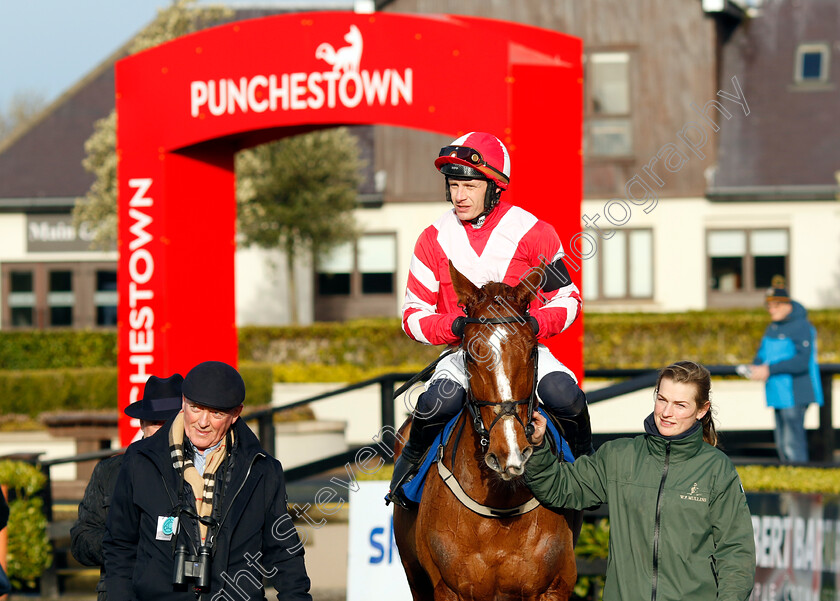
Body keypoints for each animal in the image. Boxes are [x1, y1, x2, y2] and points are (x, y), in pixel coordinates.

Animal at [396, 264, 584, 600]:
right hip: (415, 577)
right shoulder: (449, 589)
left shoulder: (554, 586)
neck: (501, 505)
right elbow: (414, 310)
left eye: (532, 350)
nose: (510, 451)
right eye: (471, 355)